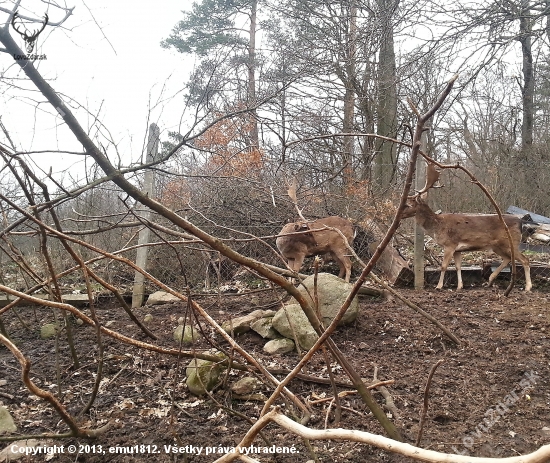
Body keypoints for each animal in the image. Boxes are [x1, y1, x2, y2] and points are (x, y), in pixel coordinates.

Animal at [402, 163, 536, 292]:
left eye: (409, 204)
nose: (401, 213)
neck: (437, 226)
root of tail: (520, 222)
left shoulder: (450, 244)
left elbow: (444, 266)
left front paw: (439, 286)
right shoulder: (457, 249)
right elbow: (458, 266)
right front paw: (459, 286)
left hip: (510, 243)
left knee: (525, 260)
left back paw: (528, 287)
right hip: (498, 246)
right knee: (508, 258)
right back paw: (490, 280)